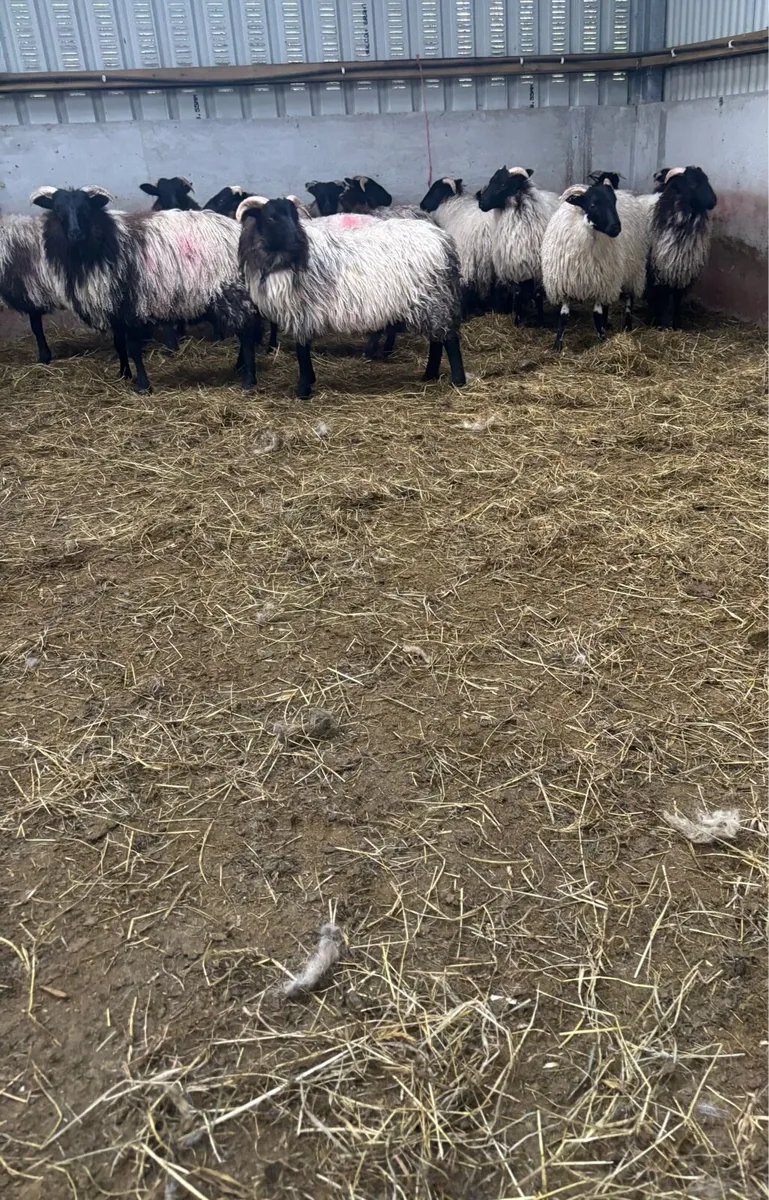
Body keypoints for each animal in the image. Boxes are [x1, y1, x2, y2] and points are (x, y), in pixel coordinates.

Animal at [32, 184, 261, 394]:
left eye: (86, 208)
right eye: (57, 208)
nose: (75, 233)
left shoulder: (131, 306)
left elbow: (133, 347)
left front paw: (142, 385)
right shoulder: (114, 309)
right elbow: (119, 344)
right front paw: (124, 374)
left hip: (233, 291)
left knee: (248, 335)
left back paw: (248, 380)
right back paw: (240, 367)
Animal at [237, 195, 466, 399]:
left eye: (294, 216)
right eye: (271, 218)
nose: (299, 242)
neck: (282, 260)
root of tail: (443, 239)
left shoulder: (303, 311)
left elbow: (302, 351)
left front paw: (303, 390)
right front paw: (310, 381)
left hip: (433, 297)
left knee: (449, 339)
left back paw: (457, 380)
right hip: (431, 299)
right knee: (437, 339)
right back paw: (429, 375)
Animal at [476, 166, 560, 325]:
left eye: (503, 184)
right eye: (491, 180)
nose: (481, 203)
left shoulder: (536, 271)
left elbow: (535, 295)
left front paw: (538, 320)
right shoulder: (515, 269)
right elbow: (519, 293)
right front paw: (519, 318)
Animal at [540, 181, 623, 351]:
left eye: (614, 202)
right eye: (593, 205)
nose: (616, 228)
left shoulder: (601, 286)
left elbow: (597, 316)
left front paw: (602, 340)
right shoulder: (565, 286)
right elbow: (563, 317)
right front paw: (557, 345)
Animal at [647, 165, 717, 329]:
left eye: (706, 179)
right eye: (691, 183)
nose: (713, 201)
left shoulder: (684, 273)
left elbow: (678, 301)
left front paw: (676, 324)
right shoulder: (660, 270)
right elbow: (663, 299)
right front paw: (662, 324)